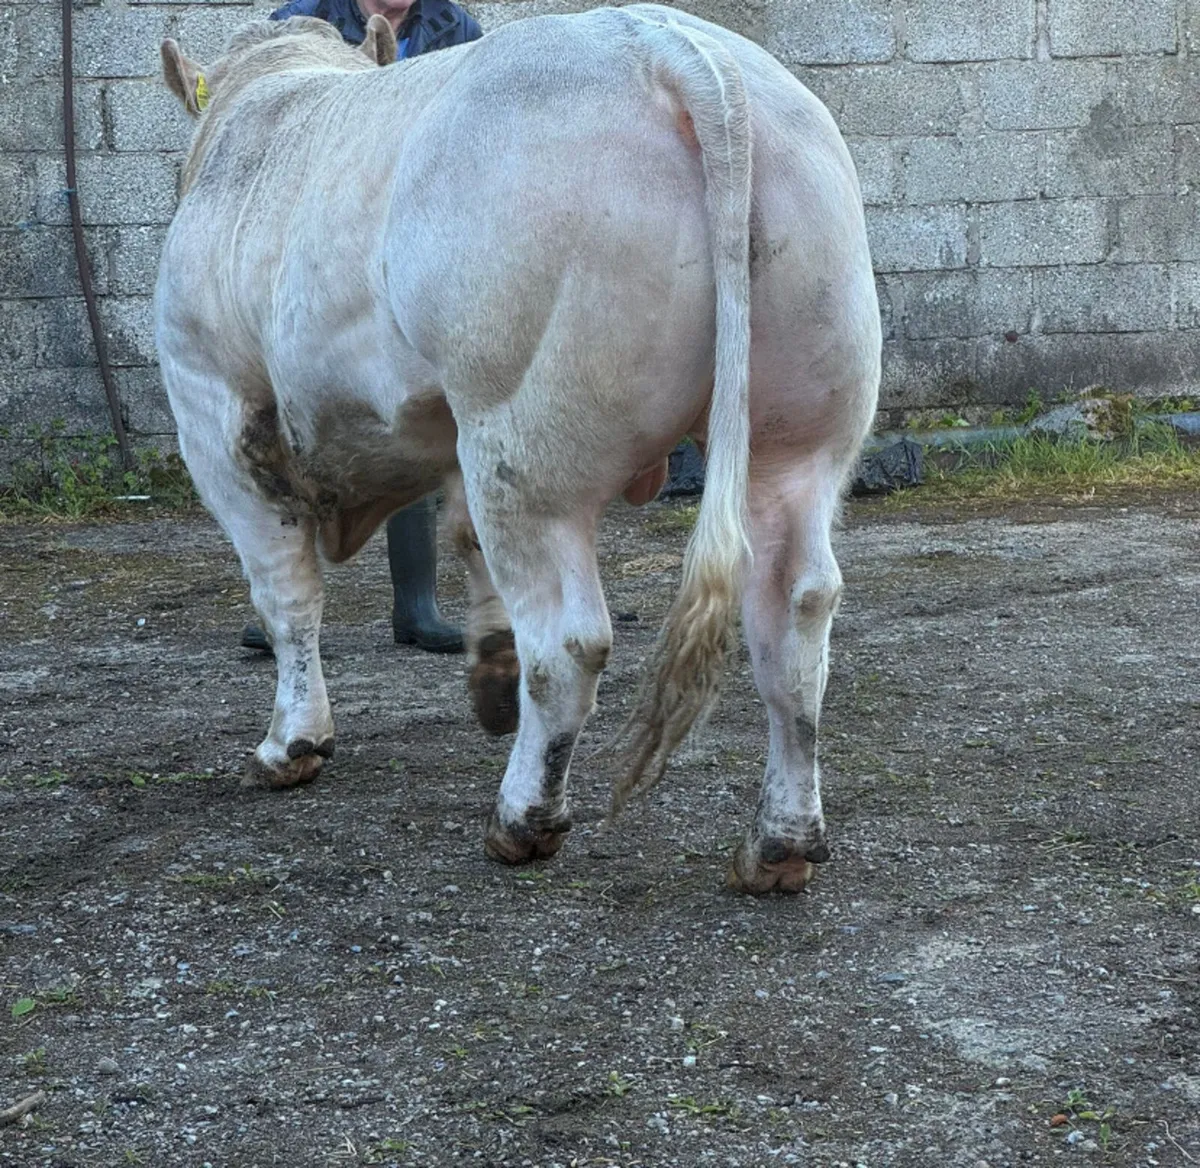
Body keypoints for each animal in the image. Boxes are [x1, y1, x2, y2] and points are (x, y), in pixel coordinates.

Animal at [155, 5, 881, 894]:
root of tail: (671, 46)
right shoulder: (441, 425)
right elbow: (463, 542)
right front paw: (490, 676)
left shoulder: (217, 412)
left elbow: (286, 594)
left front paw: (290, 743)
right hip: (800, 425)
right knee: (794, 616)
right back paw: (780, 843)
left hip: (524, 434)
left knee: (571, 641)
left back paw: (522, 819)